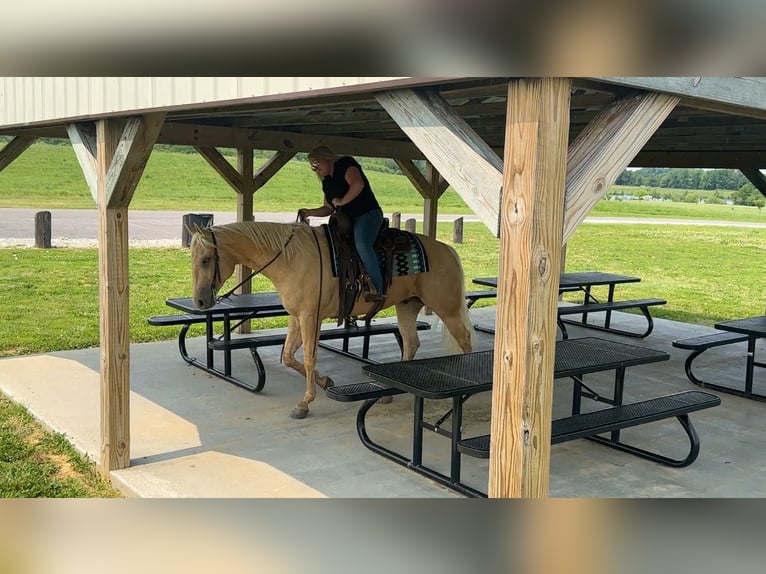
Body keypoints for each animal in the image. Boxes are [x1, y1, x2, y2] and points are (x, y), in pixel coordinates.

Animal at [190, 221, 473, 419]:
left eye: (206, 259)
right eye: (192, 259)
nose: (200, 302)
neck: (290, 258)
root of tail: (447, 250)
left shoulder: (309, 316)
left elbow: (308, 356)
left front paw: (305, 402)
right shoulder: (296, 316)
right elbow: (287, 356)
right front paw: (325, 381)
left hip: (447, 309)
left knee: (465, 341)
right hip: (407, 306)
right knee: (412, 343)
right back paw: (389, 395)